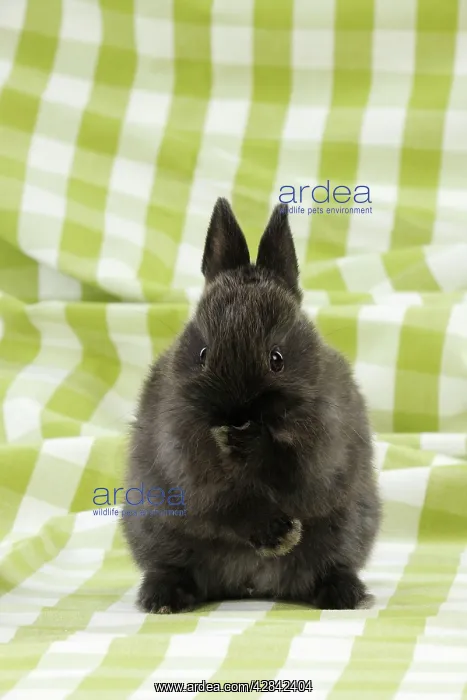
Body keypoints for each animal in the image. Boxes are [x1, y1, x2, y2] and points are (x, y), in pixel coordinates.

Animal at [122, 198, 381, 614]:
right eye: (203, 354)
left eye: (277, 359)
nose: (235, 416)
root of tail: (249, 585)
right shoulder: (184, 461)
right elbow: (227, 503)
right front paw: (277, 535)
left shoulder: (327, 441)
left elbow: (296, 471)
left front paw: (252, 445)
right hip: (156, 529)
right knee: (174, 566)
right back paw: (164, 598)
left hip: (346, 527)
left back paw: (343, 594)